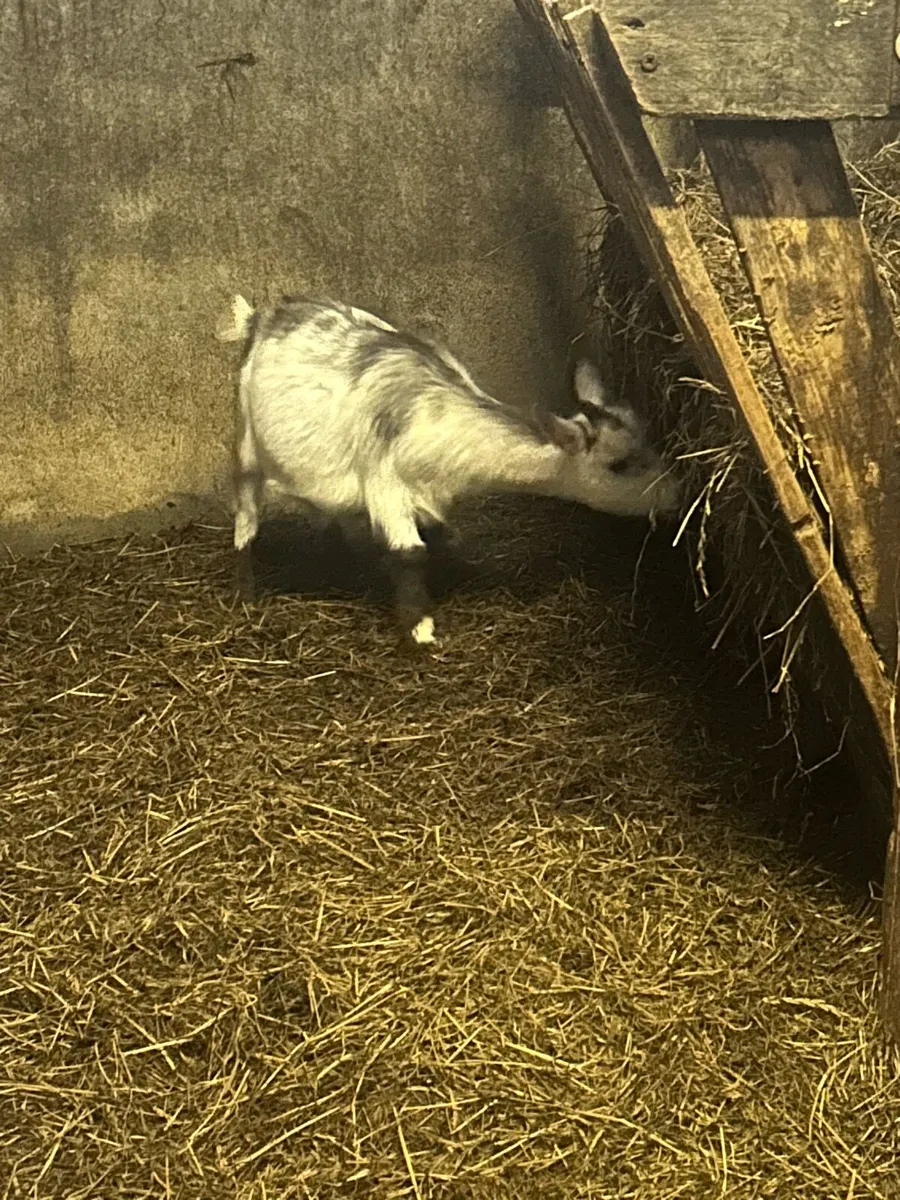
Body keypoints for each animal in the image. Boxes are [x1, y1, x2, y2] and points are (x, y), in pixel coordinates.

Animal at [216, 293, 680, 649]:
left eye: (650, 439)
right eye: (619, 464)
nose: (677, 494)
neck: (437, 418)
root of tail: (264, 315)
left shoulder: (431, 494)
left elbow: (442, 536)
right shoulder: (385, 483)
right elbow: (409, 552)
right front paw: (421, 631)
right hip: (246, 439)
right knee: (246, 513)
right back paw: (246, 594)